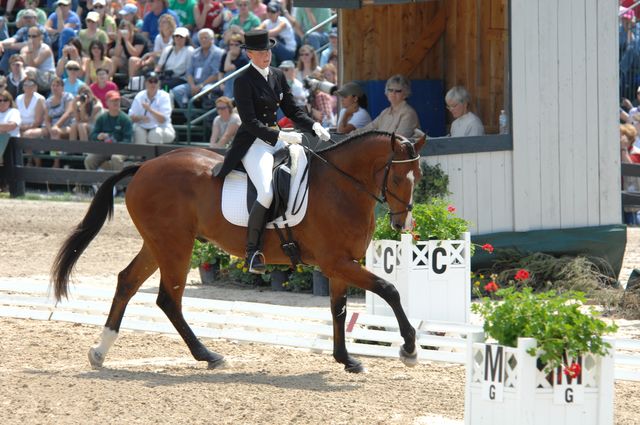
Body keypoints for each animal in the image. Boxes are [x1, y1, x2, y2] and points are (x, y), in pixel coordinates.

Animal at [51, 130, 424, 372]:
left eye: (417, 176)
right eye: (397, 178)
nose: (402, 223)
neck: (341, 186)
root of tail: (143, 167)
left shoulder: (341, 264)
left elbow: (339, 311)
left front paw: (346, 360)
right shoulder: (337, 262)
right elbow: (389, 290)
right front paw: (408, 348)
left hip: (158, 244)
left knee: (127, 282)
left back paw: (100, 351)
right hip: (175, 245)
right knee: (168, 299)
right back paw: (208, 355)